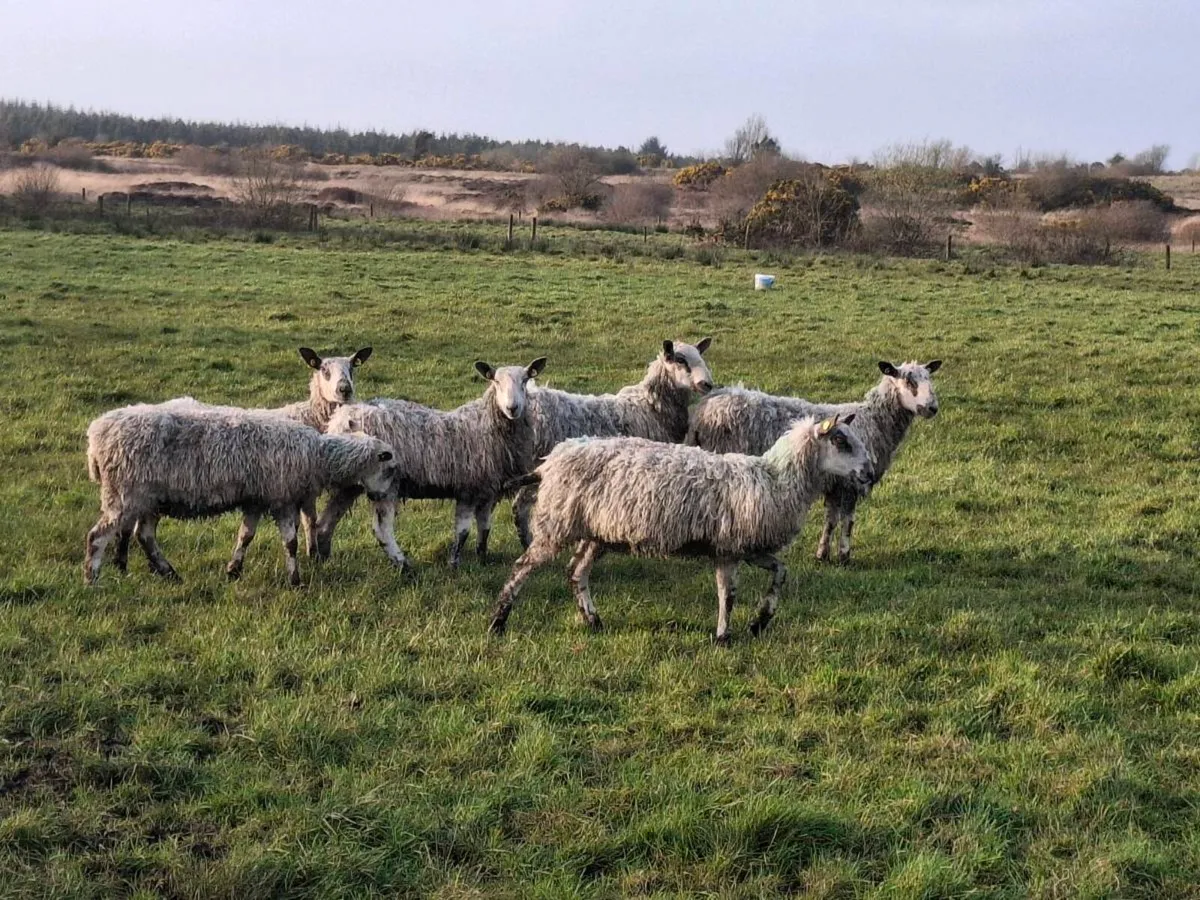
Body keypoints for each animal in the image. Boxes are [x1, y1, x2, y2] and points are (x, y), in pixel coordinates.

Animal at [84, 400, 396, 586]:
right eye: (390, 468)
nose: (380, 498)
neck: (318, 456)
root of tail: (96, 434)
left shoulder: (256, 500)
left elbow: (246, 535)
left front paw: (234, 569)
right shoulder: (281, 498)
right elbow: (291, 542)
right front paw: (295, 580)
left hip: (149, 498)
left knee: (145, 536)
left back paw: (170, 574)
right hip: (125, 494)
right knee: (97, 536)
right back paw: (92, 579)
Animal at [317, 357, 547, 571]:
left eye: (525, 380)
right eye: (496, 381)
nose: (512, 408)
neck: (486, 425)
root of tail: (340, 419)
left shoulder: (487, 490)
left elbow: (485, 527)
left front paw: (482, 559)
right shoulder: (468, 488)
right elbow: (463, 532)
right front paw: (454, 565)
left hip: (350, 482)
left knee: (326, 521)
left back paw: (321, 557)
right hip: (384, 481)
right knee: (381, 529)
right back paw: (404, 566)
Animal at [489, 413, 873, 643]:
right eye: (841, 441)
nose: (869, 473)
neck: (775, 479)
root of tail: (548, 462)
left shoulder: (748, 548)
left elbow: (780, 572)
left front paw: (760, 621)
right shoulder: (728, 547)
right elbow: (727, 594)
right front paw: (723, 637)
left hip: (597, 533)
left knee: (576, 572)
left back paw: (593, 621)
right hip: (556, 523)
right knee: (522, 568)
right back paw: (498, 622)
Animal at [512, 338, 715, 547]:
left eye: (700, 356)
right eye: (680, 360)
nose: (707, 384)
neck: (652, 407)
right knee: (521, 504)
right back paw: (527, 539)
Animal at [685, 360, 942, 564]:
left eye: (929, 379)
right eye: (909, 382)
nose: (932, 408)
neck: (875, 421)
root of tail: (702, 411)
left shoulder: (835, 484)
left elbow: (831, 520)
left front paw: (822, 554)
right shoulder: (851, 482)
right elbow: (848, 521)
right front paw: (844, 556)